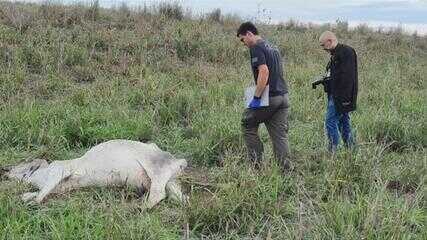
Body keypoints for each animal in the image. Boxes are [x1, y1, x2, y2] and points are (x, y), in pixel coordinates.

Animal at [0, 139, 187, 208]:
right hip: (170, 181)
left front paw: (33, 201)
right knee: (181, 198)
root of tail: (179, 161)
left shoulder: (58, 169)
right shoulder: (61, 186)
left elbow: (41, 193)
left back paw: (138, 207)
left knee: (158, 194)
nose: (5, 171)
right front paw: (27, 197)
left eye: (22, 164)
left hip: (156, 168)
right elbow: (40, 192)